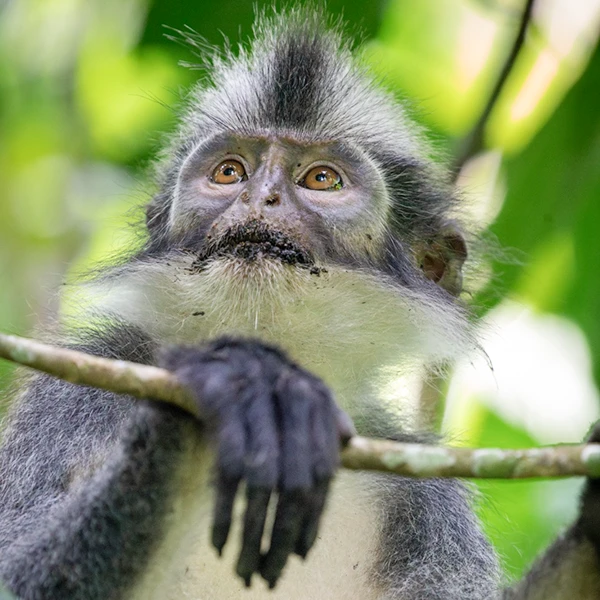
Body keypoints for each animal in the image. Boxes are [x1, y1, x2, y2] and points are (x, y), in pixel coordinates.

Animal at [1, 5, 600, 600]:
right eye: (230, 171)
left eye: (321, 178)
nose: (258, 197)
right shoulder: (80, 390)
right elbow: (18, 574)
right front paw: (243, 380)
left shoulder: (421, 493)